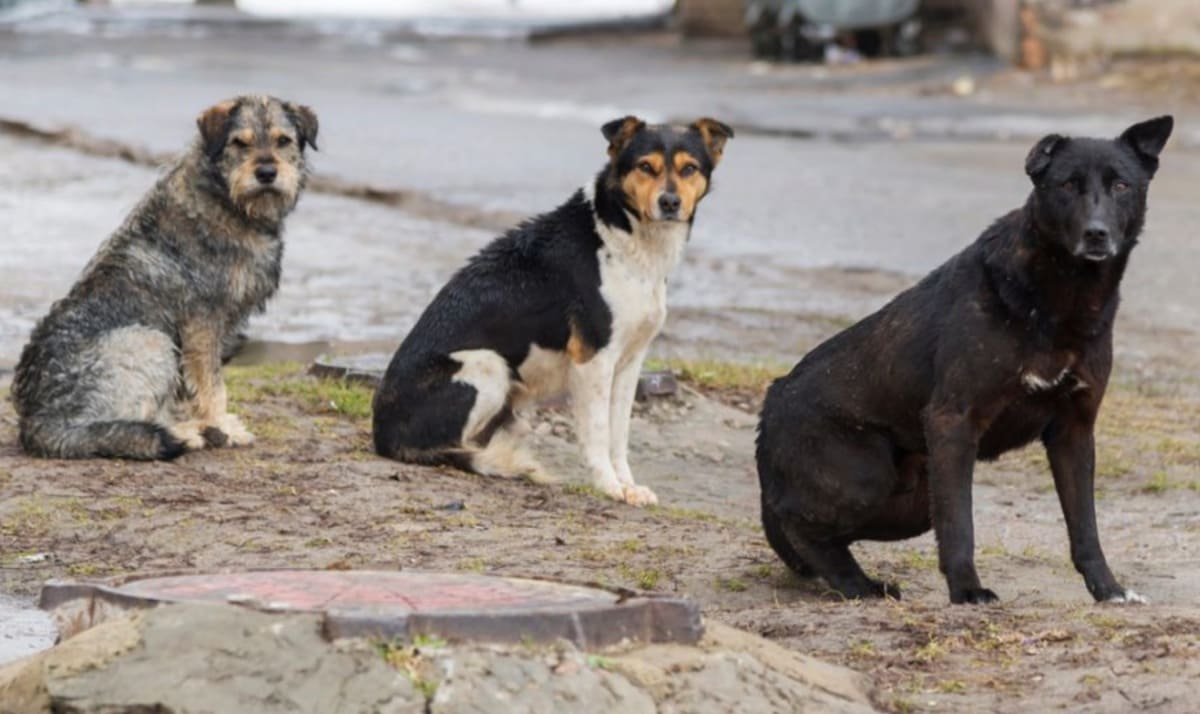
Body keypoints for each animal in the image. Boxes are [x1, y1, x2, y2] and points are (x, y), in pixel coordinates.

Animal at [11, 94, 319, 460]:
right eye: (239, 143)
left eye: (283, 140)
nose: (267, 173)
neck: (226, 201)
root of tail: (40, 422)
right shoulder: (202, 324)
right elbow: (212, 385)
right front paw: (222, 426)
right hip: (151, 341)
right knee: (120, 426)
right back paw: (185, 433)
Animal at [372, 117, 729, 506]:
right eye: (645, 167)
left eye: (689, 169)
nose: (669, 202)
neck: (623, 235)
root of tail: (381, 433)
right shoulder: (594, 359)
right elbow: (599, 432)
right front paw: (609, 485)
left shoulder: (631, 361)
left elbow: (619, 434)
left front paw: (628, 485)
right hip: (487, 364)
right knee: (451, 448)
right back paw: (495, 460)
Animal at [758, 115, 1171, 602]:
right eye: (1068, 184)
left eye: (1121, 185)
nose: (1096, 233)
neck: (1061, 298)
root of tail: (771, 401)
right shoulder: (953, 421)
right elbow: (961, 524)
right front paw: (967, 590)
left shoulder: (1074, 431)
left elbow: (1085, 528)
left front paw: (1107, 589)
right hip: (867, 477)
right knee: (798, 522)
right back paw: (856, 584)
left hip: (913, 503)